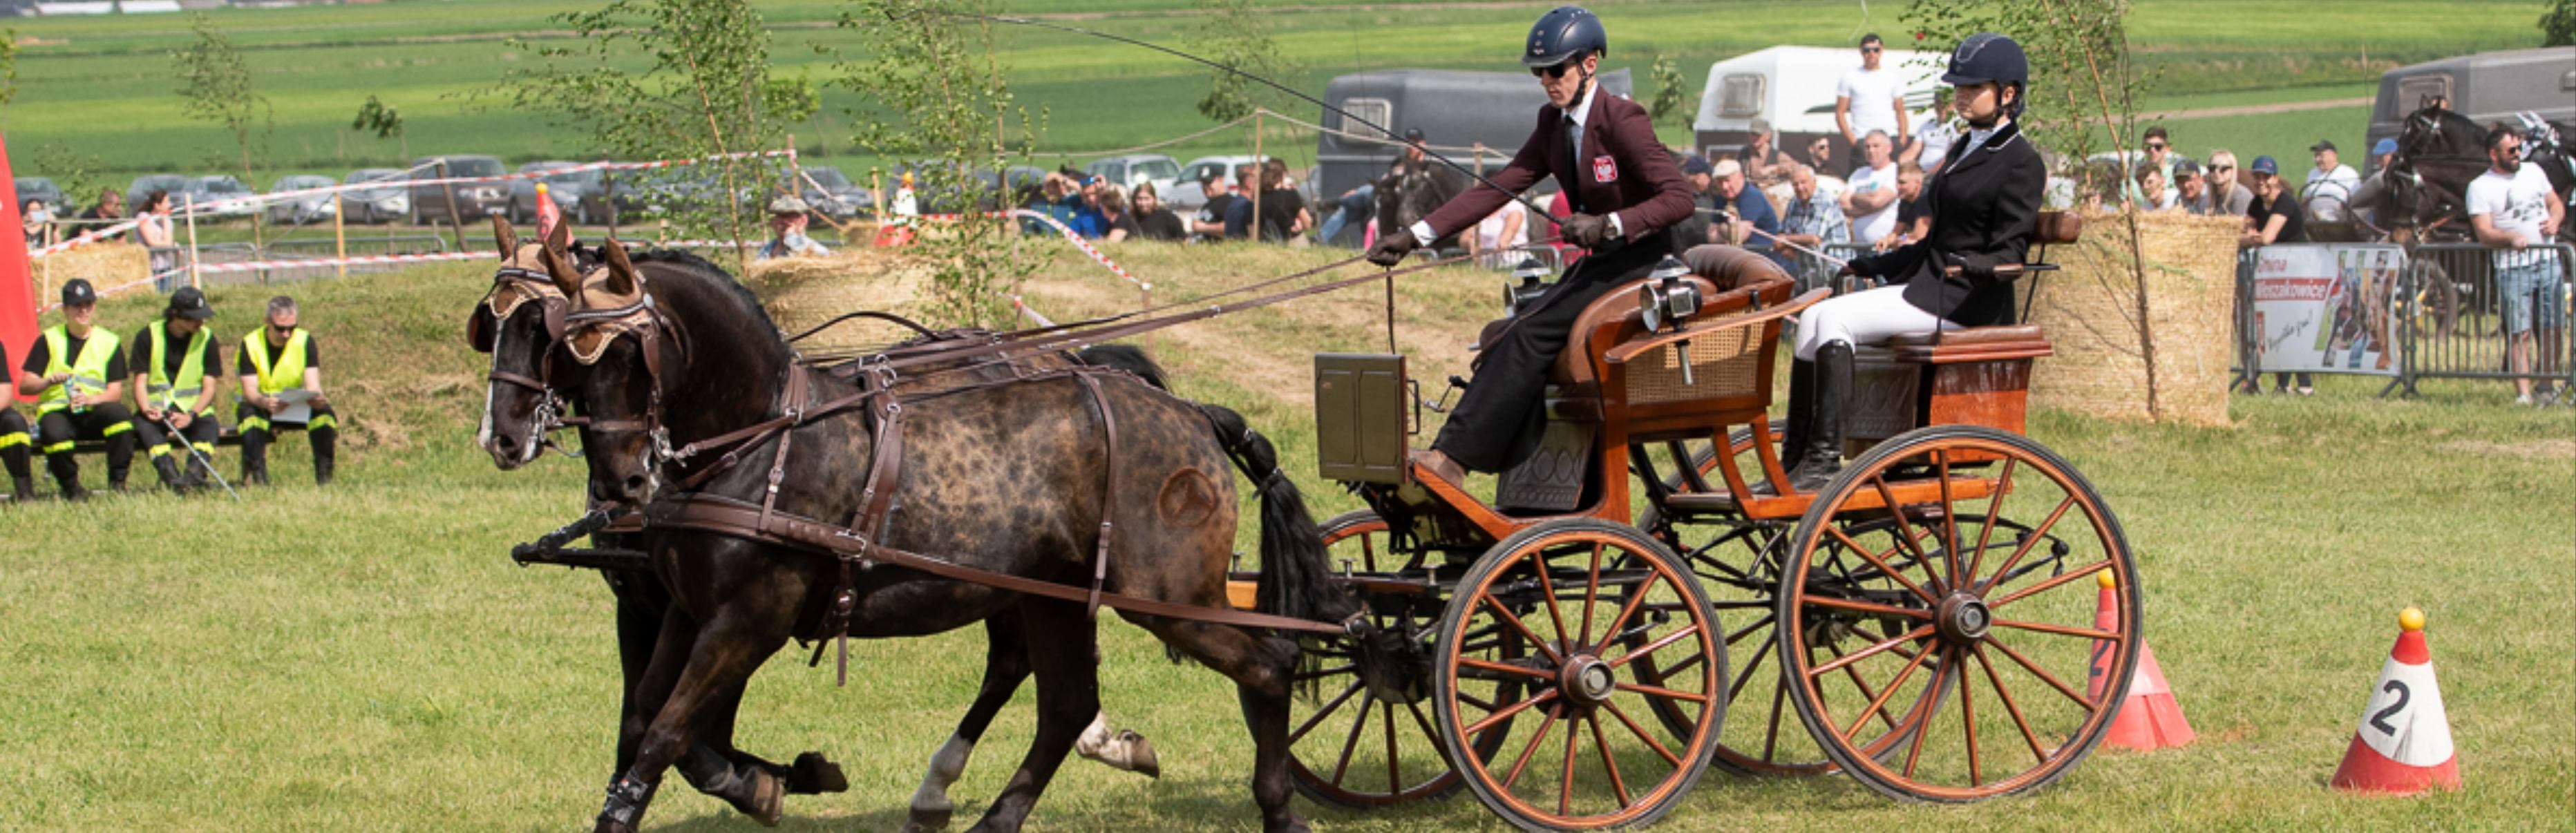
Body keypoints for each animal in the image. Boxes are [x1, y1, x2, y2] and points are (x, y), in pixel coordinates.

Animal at [468, 219, 1164, 830]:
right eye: (489, 324)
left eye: (541, 327)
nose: (500, 437)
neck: (755, 441)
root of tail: (1064, 358)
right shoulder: (656, 608)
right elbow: (644, 723)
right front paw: (774, 777)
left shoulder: (749, 618)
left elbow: (678, 731)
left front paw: (766, 782)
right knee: (1024, 664)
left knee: (1021, 667)